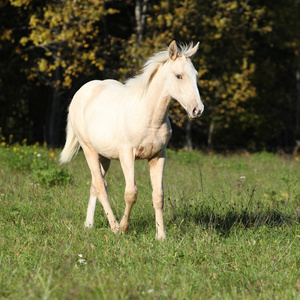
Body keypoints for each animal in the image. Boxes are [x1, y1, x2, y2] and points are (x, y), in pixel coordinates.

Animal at [58, 41, 204, 240]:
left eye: (195, 75)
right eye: (179, 75)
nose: (198, 109)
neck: (150, 117)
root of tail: (82, 92)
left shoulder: (158, 156)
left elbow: (158, 195)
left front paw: (161, 236)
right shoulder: (127, 155)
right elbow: (131, 193)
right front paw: (124, 227)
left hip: (104, 156)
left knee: (95, 184)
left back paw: (88, 224)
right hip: (89, 150)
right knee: (101, 186)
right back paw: (113, 226)